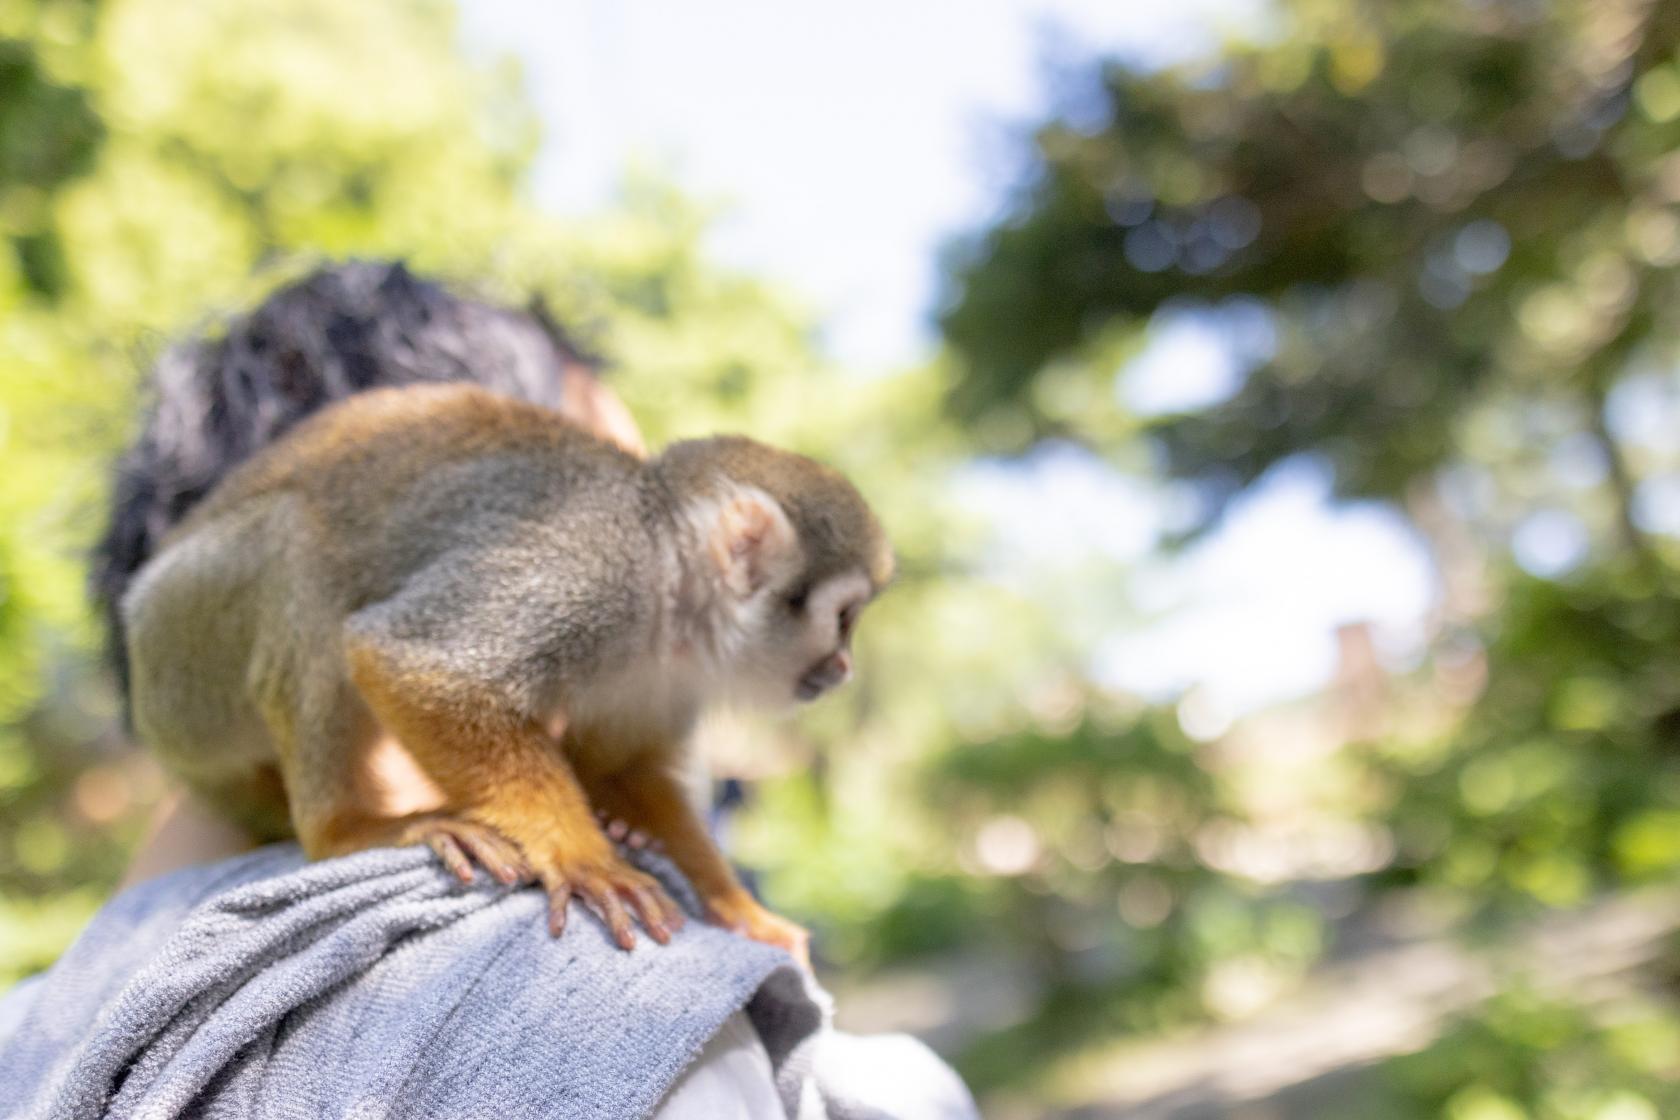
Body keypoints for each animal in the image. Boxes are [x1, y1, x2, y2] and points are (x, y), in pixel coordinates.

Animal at [118, 381, 893, 960]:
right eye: (844, 617)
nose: (844, 667)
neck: (665, 587)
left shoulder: (667, 676)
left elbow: (622, 767)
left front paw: (734, 905)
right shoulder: (584, 571)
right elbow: (414, 663)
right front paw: (583, 857)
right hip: (182, 660)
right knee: (291, 543)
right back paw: (345, 829)